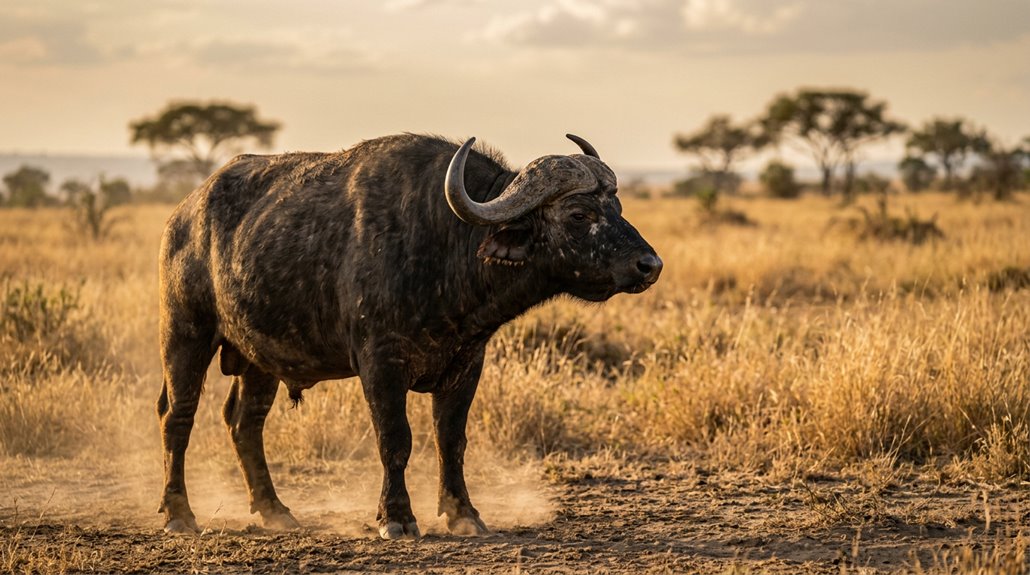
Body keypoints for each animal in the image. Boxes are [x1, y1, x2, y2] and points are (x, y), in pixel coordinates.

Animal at [157, 133, 662, 538]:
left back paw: (274, 510)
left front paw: (463, 513)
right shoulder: (380, 365)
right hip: (184, 334)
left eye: (617, 207)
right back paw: (178, 513)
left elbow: (451, 441)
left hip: (260, 359)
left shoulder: (466, 364)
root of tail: (183, 215)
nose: (649, 265)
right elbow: (395, 441)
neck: (446, 244)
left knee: (245, 423)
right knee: (177, 418)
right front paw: (396, 517)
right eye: (579, 214)